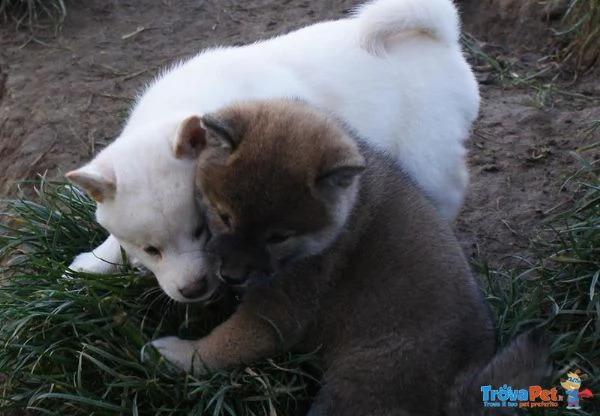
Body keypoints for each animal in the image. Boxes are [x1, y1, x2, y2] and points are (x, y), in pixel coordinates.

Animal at [65, 0, 478, 302]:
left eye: (202, 231)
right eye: (151, 249)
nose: (194, 291)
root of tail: (439, 37)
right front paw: (92, 264)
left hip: (425, 151)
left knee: (448, 187)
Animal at [152, 99, 548, 414]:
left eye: (278, 237)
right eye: (225, 216)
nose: (232, 276)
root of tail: (461, 381)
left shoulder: (280, 312)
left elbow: (225, 345)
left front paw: (179, 354)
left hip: (359, 383)